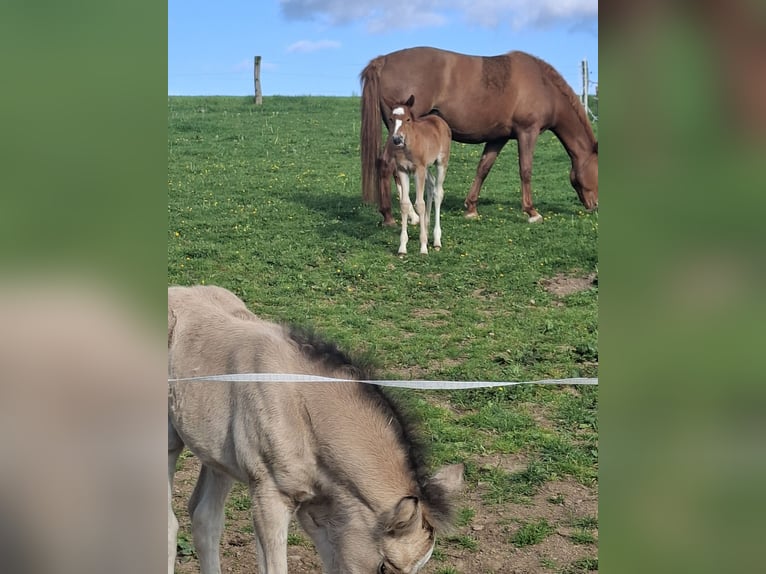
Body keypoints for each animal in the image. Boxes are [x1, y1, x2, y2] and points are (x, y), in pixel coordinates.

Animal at [168, 285, 464, 574]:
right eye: (384, 567)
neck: (302, 413)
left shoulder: (324, 515)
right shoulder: (269, 497)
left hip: (217, 457)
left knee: (205, 518)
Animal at [360, 46, 599, 225]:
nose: (595, 206)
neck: (543, 85)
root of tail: (383, 61)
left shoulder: (498, 138)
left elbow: (483, 168)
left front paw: (471, 208)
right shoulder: (527, 132)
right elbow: (525, 170)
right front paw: (532, 212)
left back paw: (411, 215)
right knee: (385, 164)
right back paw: (390, 216)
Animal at [382, 95, 451, 255]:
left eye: (408, 119)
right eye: (390, 119)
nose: (397, 139)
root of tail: (439, 120)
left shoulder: (418, 169)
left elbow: (420, 204)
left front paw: (424, 247)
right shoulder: (403, 170)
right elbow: (404, 204)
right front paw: (402, 247)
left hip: (441, 162)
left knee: (438, 192)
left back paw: (437, 240)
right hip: (426, 167)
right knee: (431, 183)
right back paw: (426, 225)